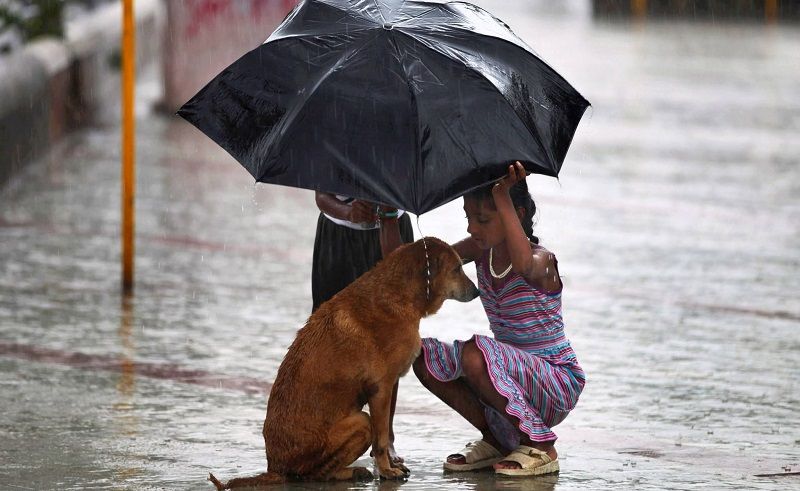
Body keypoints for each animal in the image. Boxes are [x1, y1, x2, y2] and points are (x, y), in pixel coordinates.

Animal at [209, 237, 478, 488]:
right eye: (457, 269)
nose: (476, 291)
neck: (398, 293)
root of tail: (274, 468)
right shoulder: (381, 389)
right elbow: (382, 440)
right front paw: (387, 470)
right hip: (360, 423)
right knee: (314, 475)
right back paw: (352, 472)